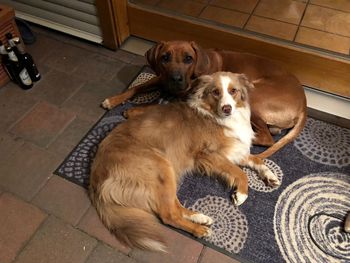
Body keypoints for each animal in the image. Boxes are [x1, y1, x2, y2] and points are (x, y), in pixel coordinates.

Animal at [89, 71, 278, 253]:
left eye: (233, 91)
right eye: (216, 92)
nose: (227, 108)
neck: (216, 116)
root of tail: (96, 176)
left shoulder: (234, 149)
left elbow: (257, 159)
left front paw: (270, 176)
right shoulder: (208, 154)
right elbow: (239, 172)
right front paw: (242, 194)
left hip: (167, 173)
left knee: (174, 207)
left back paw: (199, 217)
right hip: (162, 166)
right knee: (168, 215)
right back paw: (199, 229)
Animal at [102, 40, 306, 159]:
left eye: (188, 58)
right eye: (165, 57)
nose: (175, 79)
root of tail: (304, 105)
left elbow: (154, 105)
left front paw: (134, 110)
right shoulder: (161, 78)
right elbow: (136, 87)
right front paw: (113, 100)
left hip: (252, 97)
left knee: (265, 138)